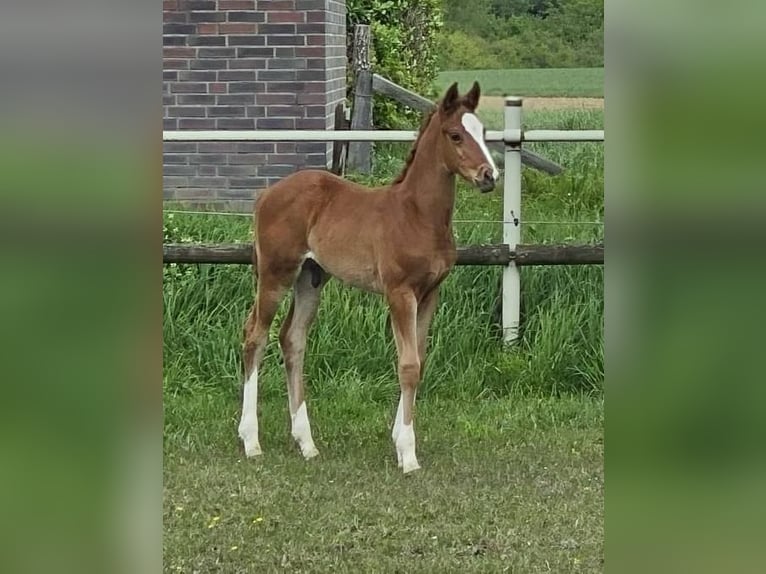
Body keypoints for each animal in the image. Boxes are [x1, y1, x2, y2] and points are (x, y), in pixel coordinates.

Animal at [238, 81, 499, 473]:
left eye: (483, 132)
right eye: (455, 135)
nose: (489, 176)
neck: (416, 215)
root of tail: (266, 193)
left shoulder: (430, 294)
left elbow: (419, 359)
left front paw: (399, 440)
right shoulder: (399, 292)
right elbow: (408, 364)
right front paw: (408, 455)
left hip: (310, 278)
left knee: (292, 339)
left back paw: (307, 443)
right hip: (275, 273)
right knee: (255, 336)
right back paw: (251, 441)